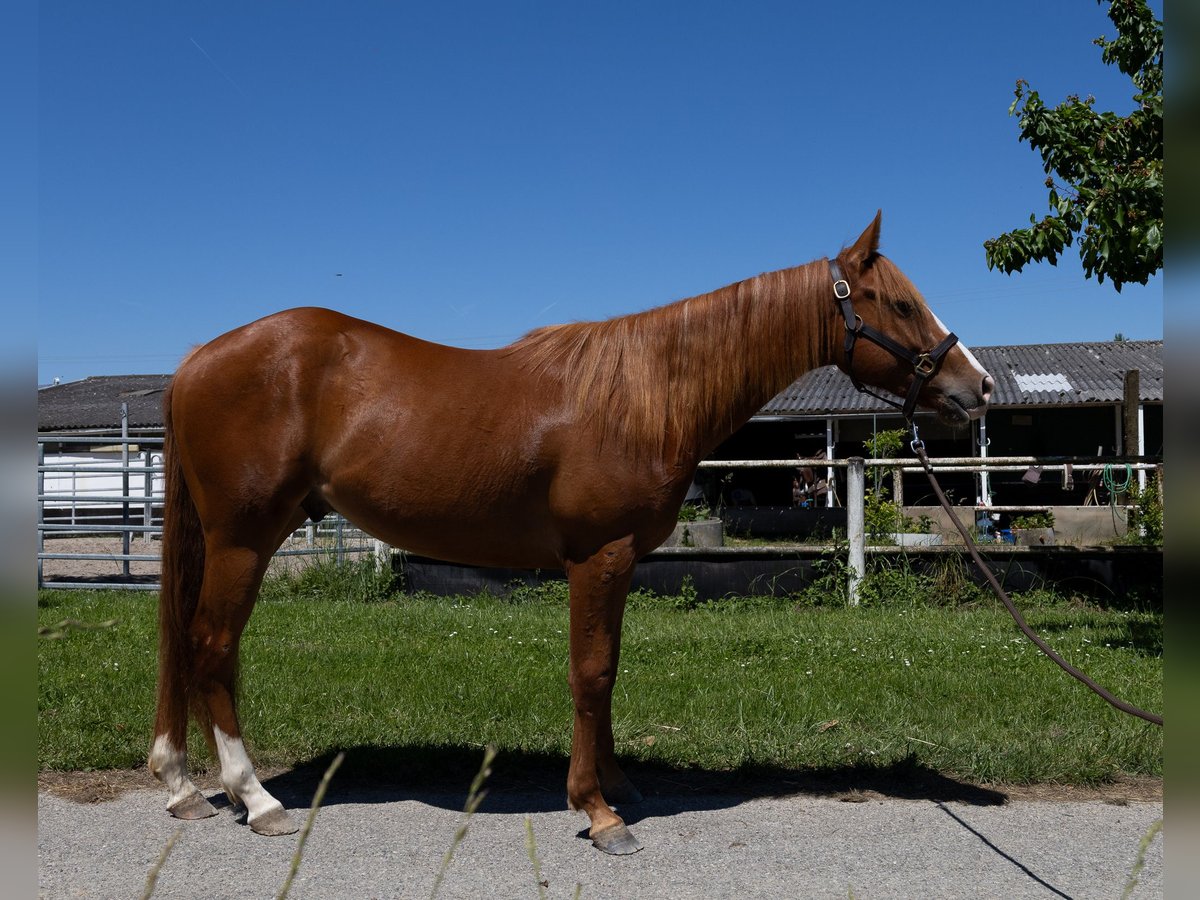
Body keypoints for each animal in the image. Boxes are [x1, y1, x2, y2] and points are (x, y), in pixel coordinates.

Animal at [149, 212, 993, 854]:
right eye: (897, 303)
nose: (975, 388)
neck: (647, 392)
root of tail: (198, 360)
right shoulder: (598, 558)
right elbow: (590, 674)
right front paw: (597, 810)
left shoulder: (617, 565)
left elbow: (610, 673)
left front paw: (617, 784)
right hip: (242, 540)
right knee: (212, 646)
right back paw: (256, 798)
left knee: (192, 645)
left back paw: (184, 783)